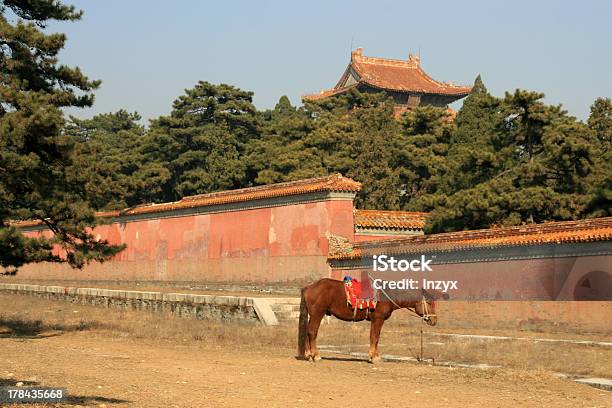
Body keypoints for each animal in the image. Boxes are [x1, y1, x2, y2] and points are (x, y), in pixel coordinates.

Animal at [296, 278, 440, 362]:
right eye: (429, 302)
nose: (434, 320)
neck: (386, 295)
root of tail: (309, 287)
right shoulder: (378, 319)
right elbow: (374, 337)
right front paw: (373, 357)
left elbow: (376, 337)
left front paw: (375, 355)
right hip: (317, 314)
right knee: (312, 332)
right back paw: (316, 355)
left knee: (308, 332)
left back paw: (309, 355)